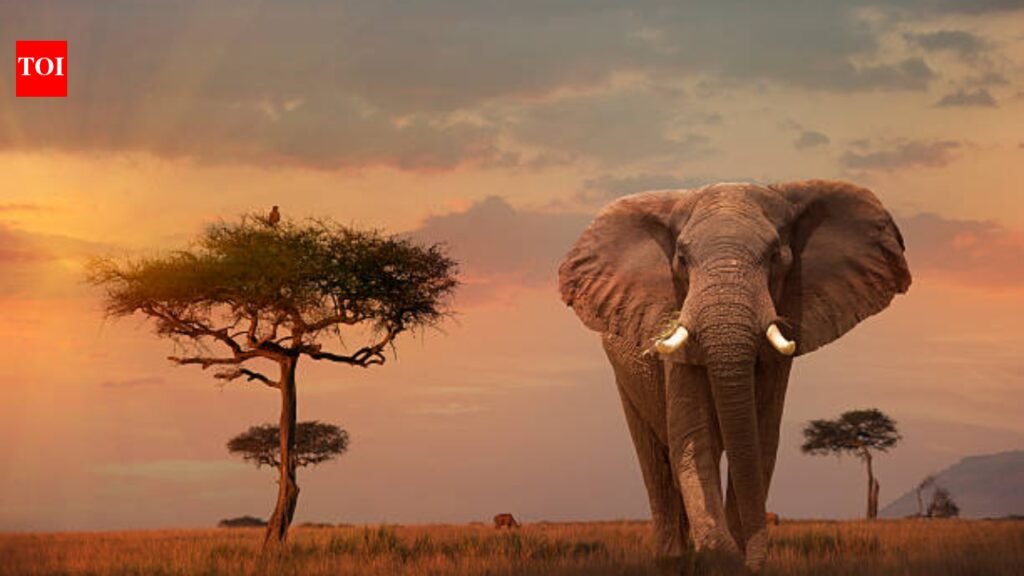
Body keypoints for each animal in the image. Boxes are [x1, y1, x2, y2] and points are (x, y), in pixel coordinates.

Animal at [558, 180, 910, 571]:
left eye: (775, 257)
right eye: (682, 259)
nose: (753, 559)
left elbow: (760, 440)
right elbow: (695, 438)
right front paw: (719, 556)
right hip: (625, 375)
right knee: (657, 463)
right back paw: (673, 559)